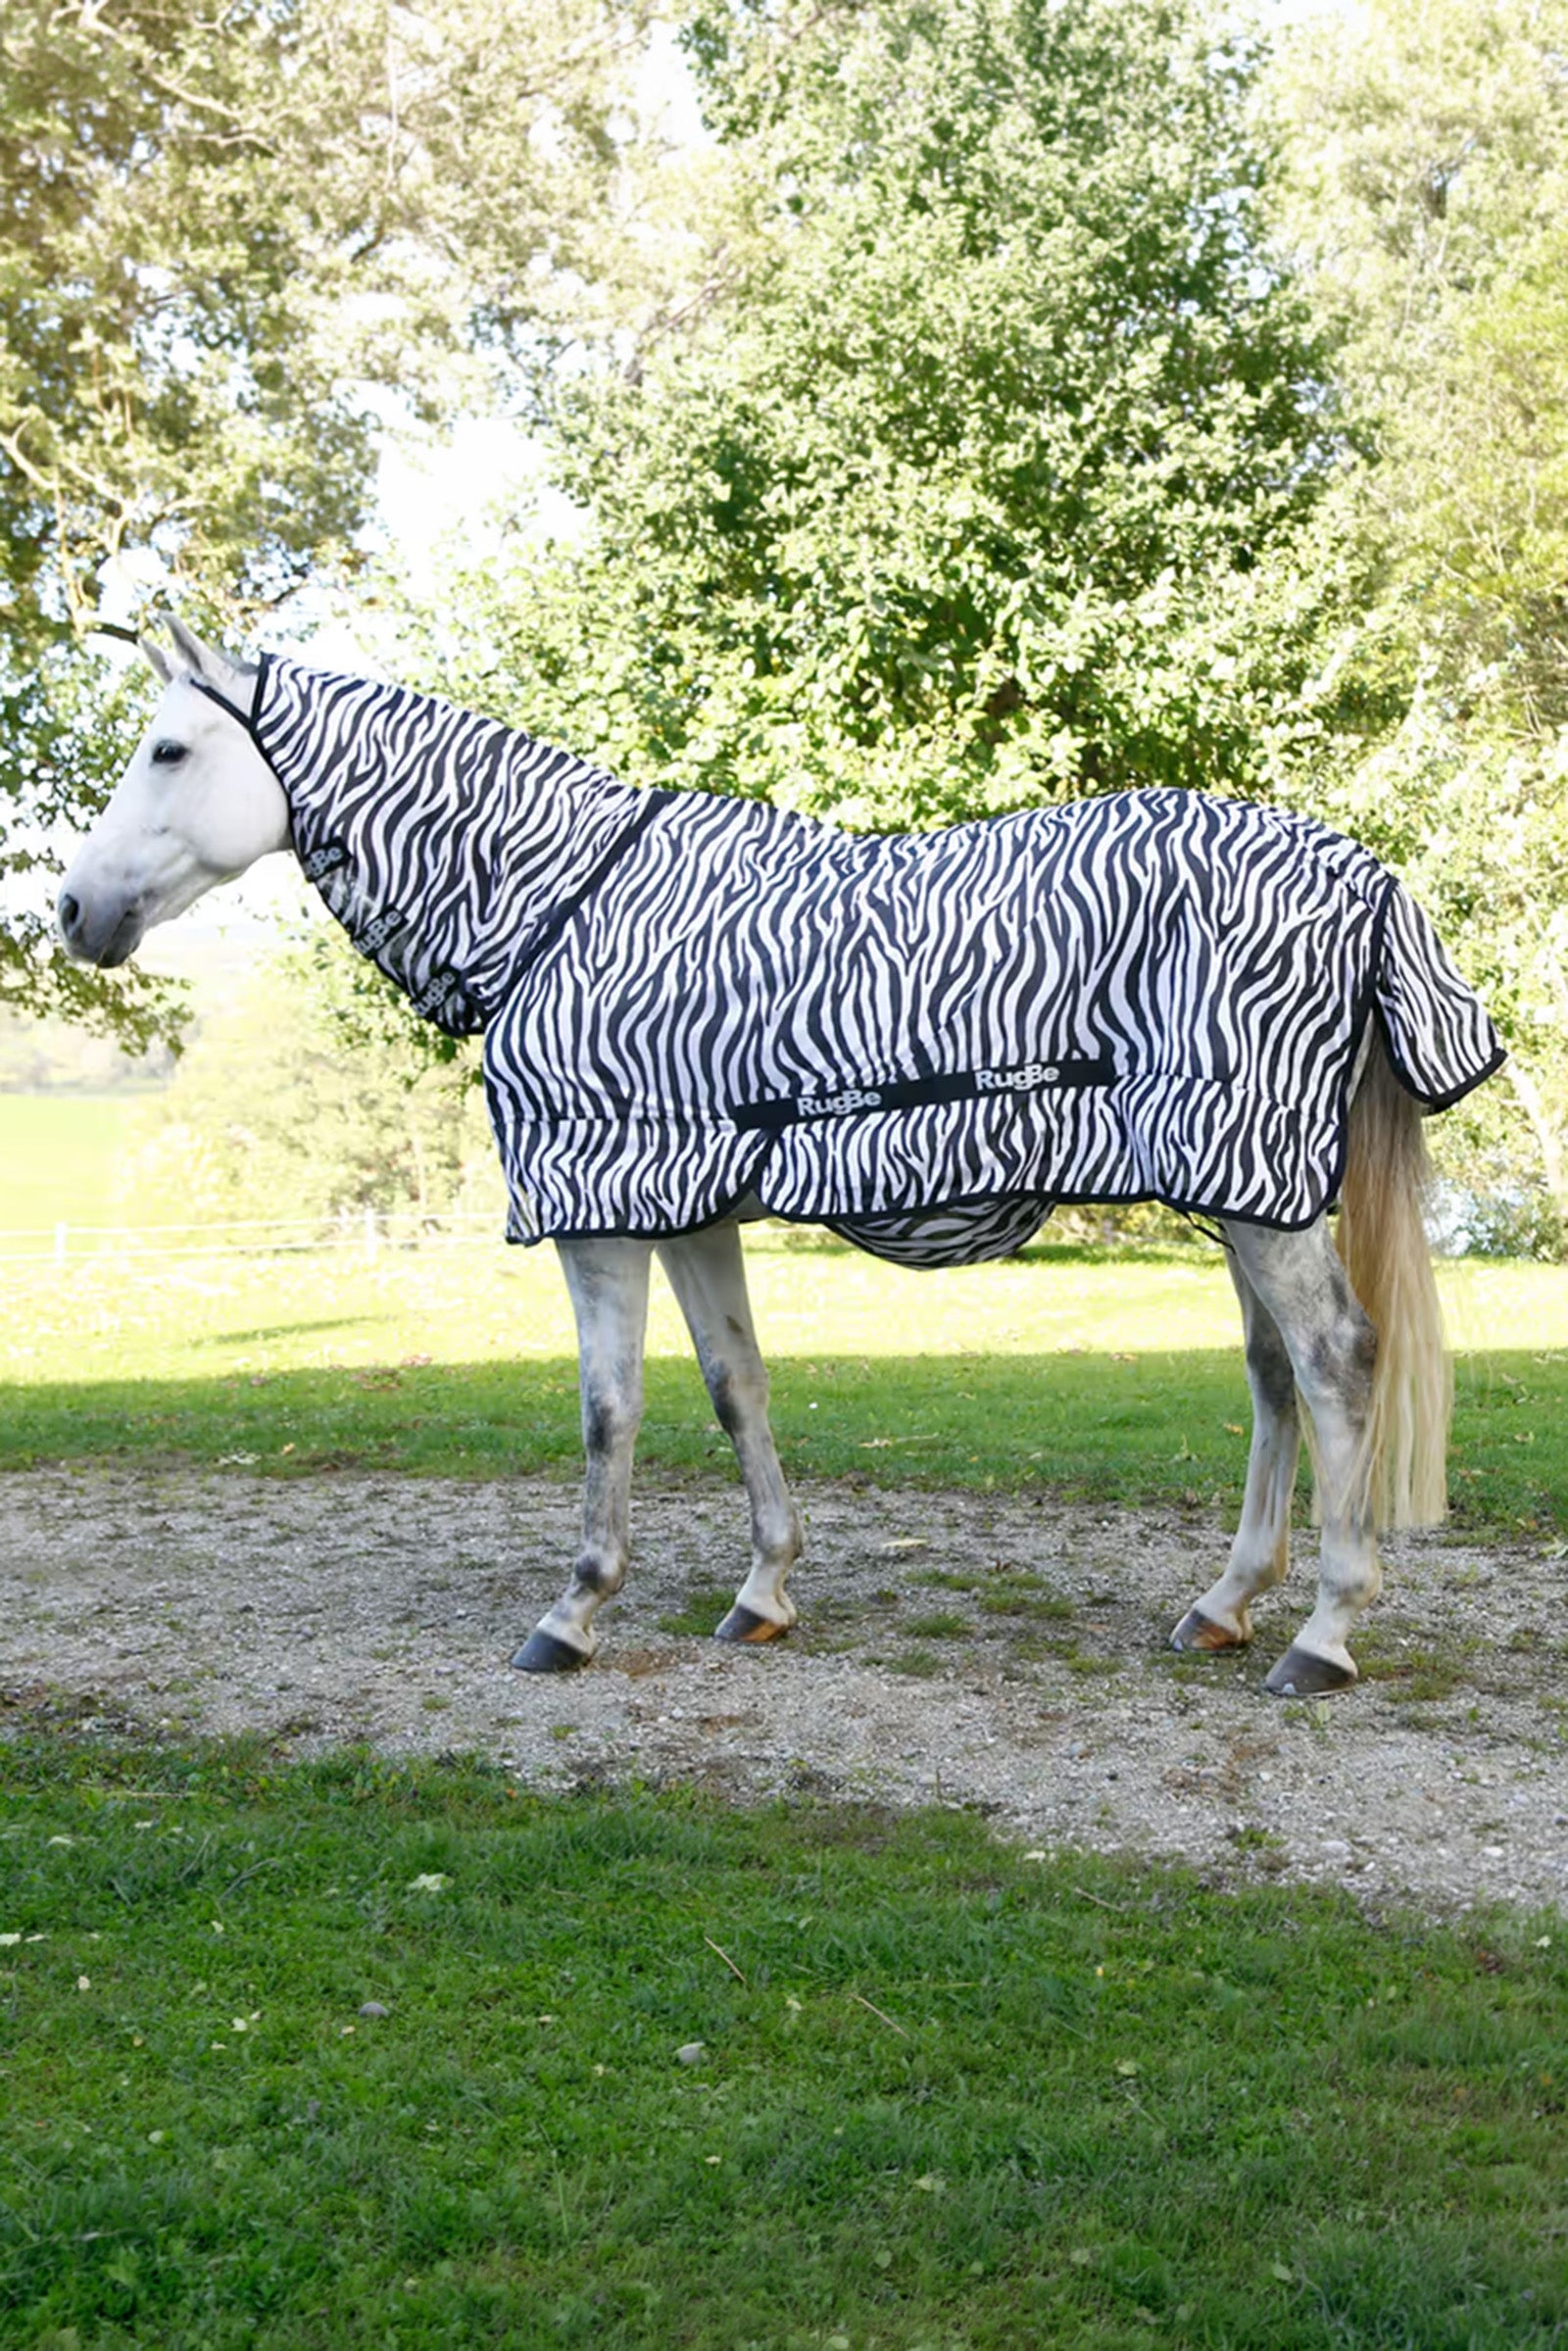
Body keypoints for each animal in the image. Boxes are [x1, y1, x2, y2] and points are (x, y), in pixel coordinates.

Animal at [58, 620, 1504, 1696]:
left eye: (170, 746)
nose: (72, 910)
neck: (557, 907)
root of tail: (1366, 876)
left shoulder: (600, 1211)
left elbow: (608, 1408)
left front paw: (573, 1612)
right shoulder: (690, 1203)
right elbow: (733, 1383)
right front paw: (763, 1590)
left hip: (1256, 1191)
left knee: (1336, 1362)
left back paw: (1324, 1633)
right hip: (1237, 1184)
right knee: (1273, 1374)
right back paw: (1226, 1602)